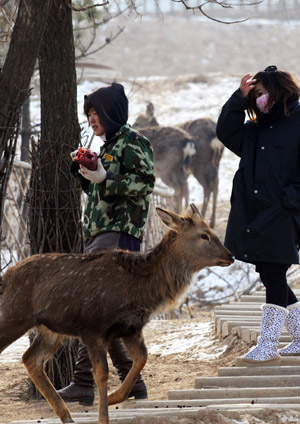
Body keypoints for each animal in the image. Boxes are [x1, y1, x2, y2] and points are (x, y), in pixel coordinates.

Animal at [0, 204, 233, 422]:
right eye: (204, 235)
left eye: (211, 231)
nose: (230, 255)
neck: (140, 292)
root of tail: (6, 277)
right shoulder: (92, 328)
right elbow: (102, 374)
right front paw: (104, 417)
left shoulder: (131, 328)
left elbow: (141, 358)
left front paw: (114, 397)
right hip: (14, 316)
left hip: (51, 330)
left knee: (30, 358)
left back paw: (67, 416)